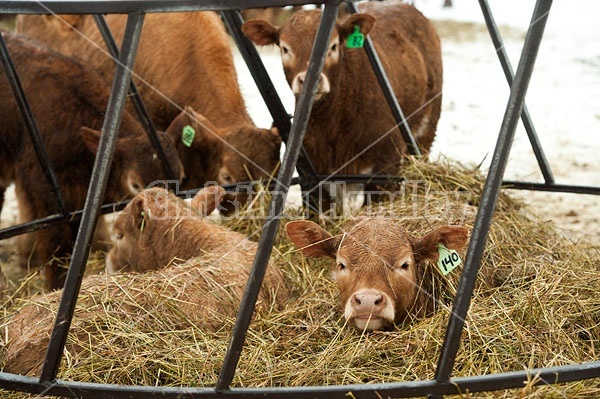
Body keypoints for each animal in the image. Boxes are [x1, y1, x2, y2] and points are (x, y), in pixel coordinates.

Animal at [241, 1, 442, 203]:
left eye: (333, 46)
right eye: (284, 48)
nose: (309, 80)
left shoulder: (386, 170)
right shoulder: (312, 178)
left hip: (426, 133)